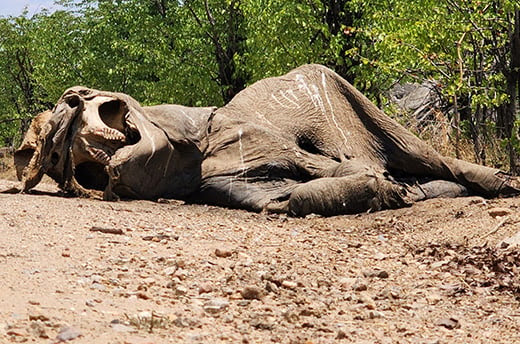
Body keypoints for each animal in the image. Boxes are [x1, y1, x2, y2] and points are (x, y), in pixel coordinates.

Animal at [12, 64, 520, 215]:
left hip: (344, 95)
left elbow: (327, 166)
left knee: (430, 158)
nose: (70, 104)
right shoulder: (222, 185)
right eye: (59, 162)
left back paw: (498, 182)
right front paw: (389, 191)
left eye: (82, 100)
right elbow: (289, 200)